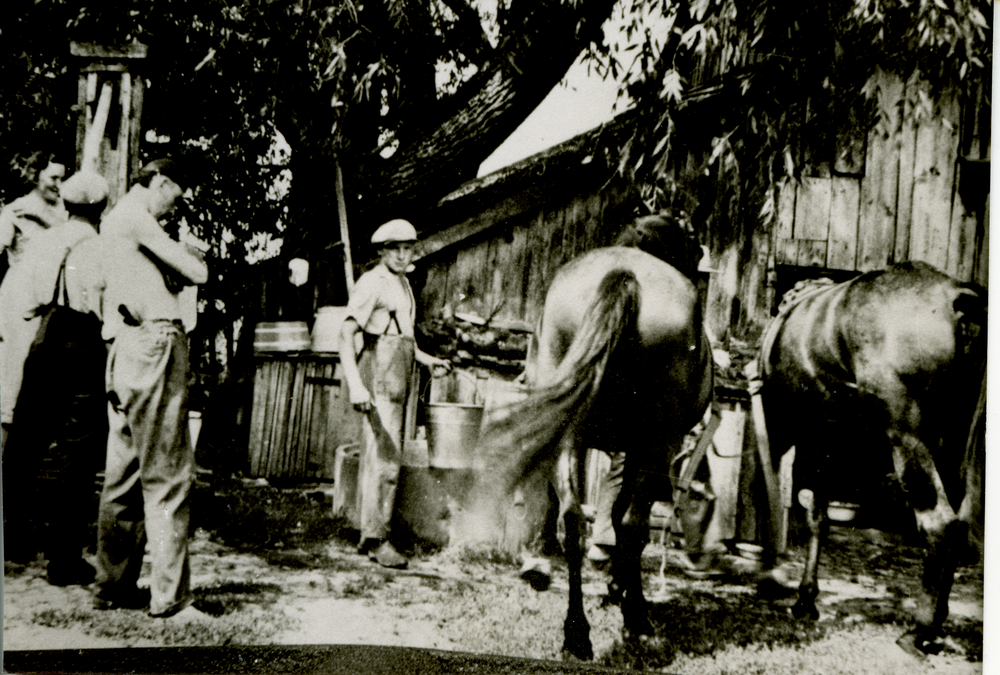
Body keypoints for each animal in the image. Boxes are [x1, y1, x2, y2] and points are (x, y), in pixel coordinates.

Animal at [468, 244, 712, 660]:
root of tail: (624, 274)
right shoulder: (644, 449)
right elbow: (619, 516)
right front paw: (620, 590)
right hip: (656, 440)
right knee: (631, 524)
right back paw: (636, 621)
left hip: (572, 431)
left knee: (572, 519)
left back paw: (576, 634)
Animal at [756, 262, 984, 656]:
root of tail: (956, 296)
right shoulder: (828, 438)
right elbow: (819, 516)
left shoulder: (801, 433)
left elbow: (801, 511)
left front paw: (800, 595)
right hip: (954, 446)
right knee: (960, 524)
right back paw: (937, 620)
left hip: (908, 438)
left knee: (940, 524)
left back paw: (920, 630)